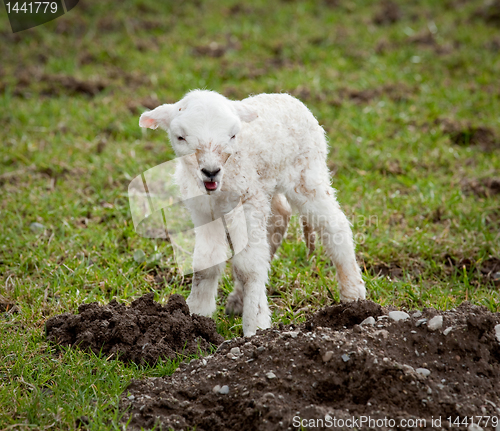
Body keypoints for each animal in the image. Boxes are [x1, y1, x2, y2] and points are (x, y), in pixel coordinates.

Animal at [139, 91, 366, 338]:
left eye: (232, 135)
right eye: (180, 137)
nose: (211, 171)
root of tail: (285, 96)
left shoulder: (248, 200)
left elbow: (249, 266)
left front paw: (255, 328)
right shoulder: (203, 210)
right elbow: (206, 261)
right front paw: (195, 316)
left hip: (307, 173)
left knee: (334, 223)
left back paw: (353, 297)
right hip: (268, 186)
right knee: (279, 216)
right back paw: (238, 300)